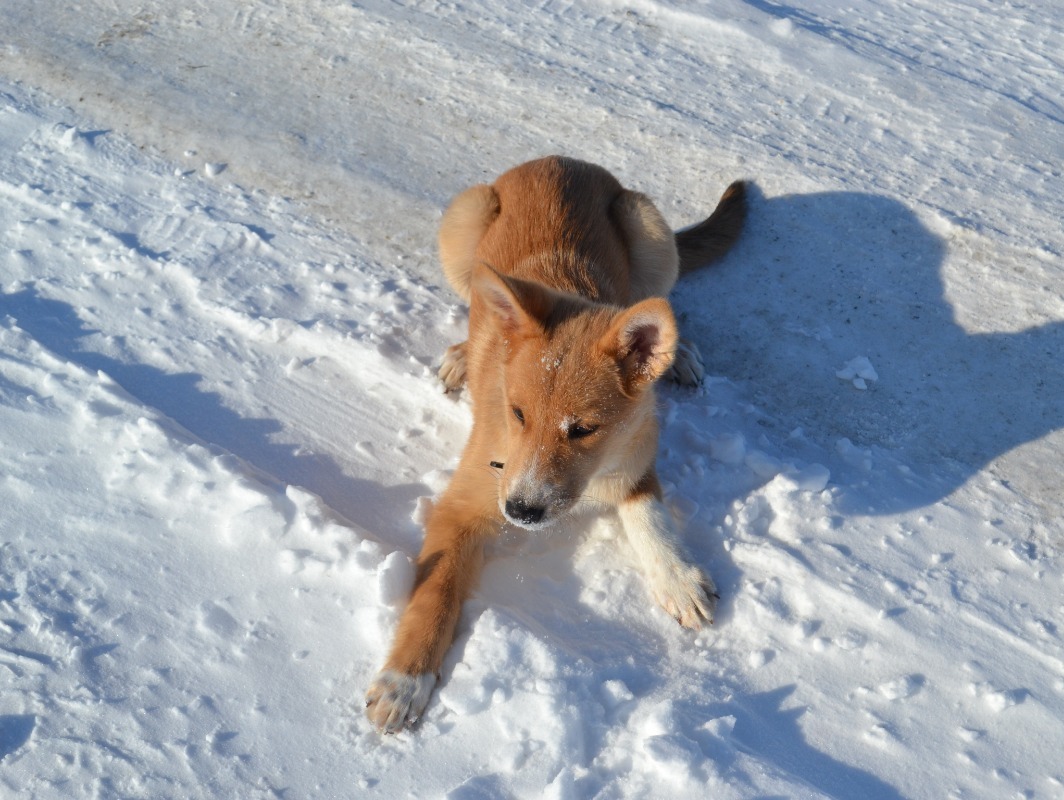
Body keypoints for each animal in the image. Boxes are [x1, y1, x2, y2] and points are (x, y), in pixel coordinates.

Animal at [370, 154, 744, 731]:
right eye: (517, 413)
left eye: (584, 429)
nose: (522, 511)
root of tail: (562, 161)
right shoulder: (463, 505)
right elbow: (435, 593)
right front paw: (404, 680)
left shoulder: (635, 450)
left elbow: (650, 513)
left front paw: (677, 576)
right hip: (465, 220)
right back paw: (460, 353)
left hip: (649, 228)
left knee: (662, 300)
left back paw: (677, 353)